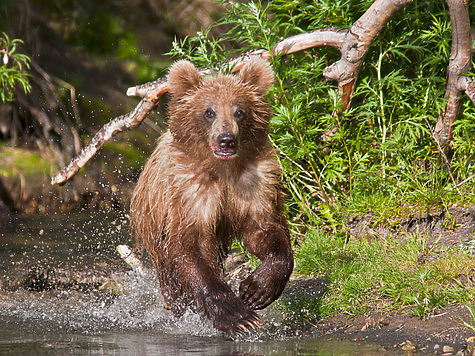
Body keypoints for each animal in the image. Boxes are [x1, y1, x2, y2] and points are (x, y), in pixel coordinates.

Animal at [130, 58, 294, 334]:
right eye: (209, 111)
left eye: (239, 111)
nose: (226, 139)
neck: (223, 169)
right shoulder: (190, 191)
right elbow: (190, 246)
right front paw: (238, 315)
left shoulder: (254, 184)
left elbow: (265, 229)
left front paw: (256, 289)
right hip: (155, 232)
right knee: (172, 283)